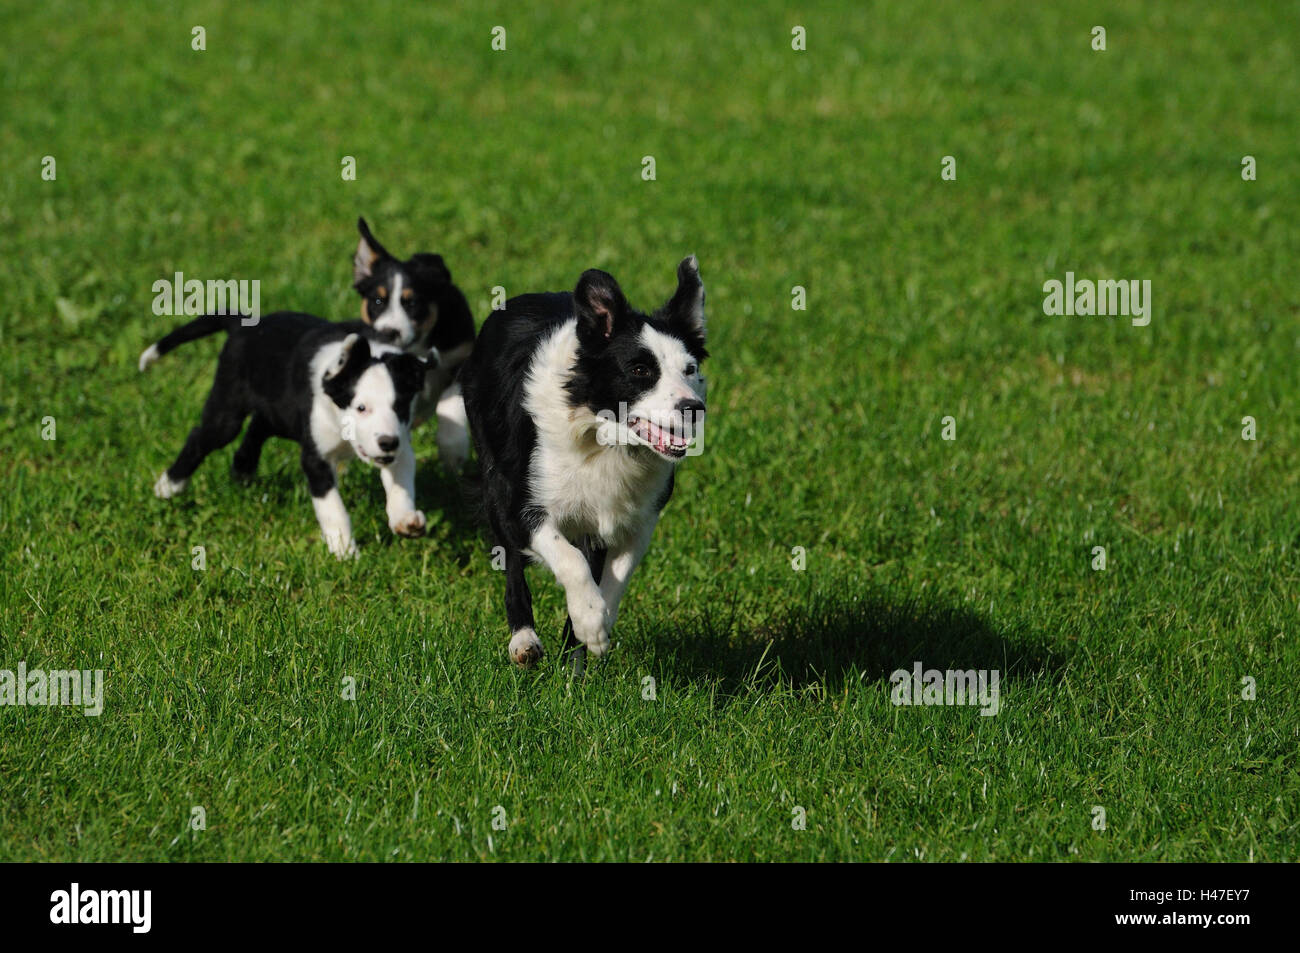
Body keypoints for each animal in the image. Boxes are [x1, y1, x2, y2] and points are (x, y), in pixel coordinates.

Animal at [140, 312, 428, 556]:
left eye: (400, 406)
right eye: (361, 408)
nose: (387, 442)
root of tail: (243, 324)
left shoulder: (401, 447)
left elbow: (400, 485)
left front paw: (405, 520)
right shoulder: (315, 458)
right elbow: (332, 507)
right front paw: (344, 551)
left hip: (280, 411)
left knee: (258, 426)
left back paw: (242, 470)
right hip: (227, 410)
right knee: (200, 437)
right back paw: (169, 486)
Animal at [351, 217, 478, 468]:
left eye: (412, 303)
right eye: (377, 301)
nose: (389, 332)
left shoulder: (462, 354)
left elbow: (449, 400)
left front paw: (453, 450)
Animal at [462, 256, 712, 665]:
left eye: (690, 370)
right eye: (640, 370)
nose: (694, 408)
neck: (602, 436)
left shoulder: (637, 517)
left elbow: (613, 575)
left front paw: (593, 628)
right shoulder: (522, 506)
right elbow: (570, 561)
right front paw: (590, 621)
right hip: (494, 478)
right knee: (513, 564)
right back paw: (524, 640)